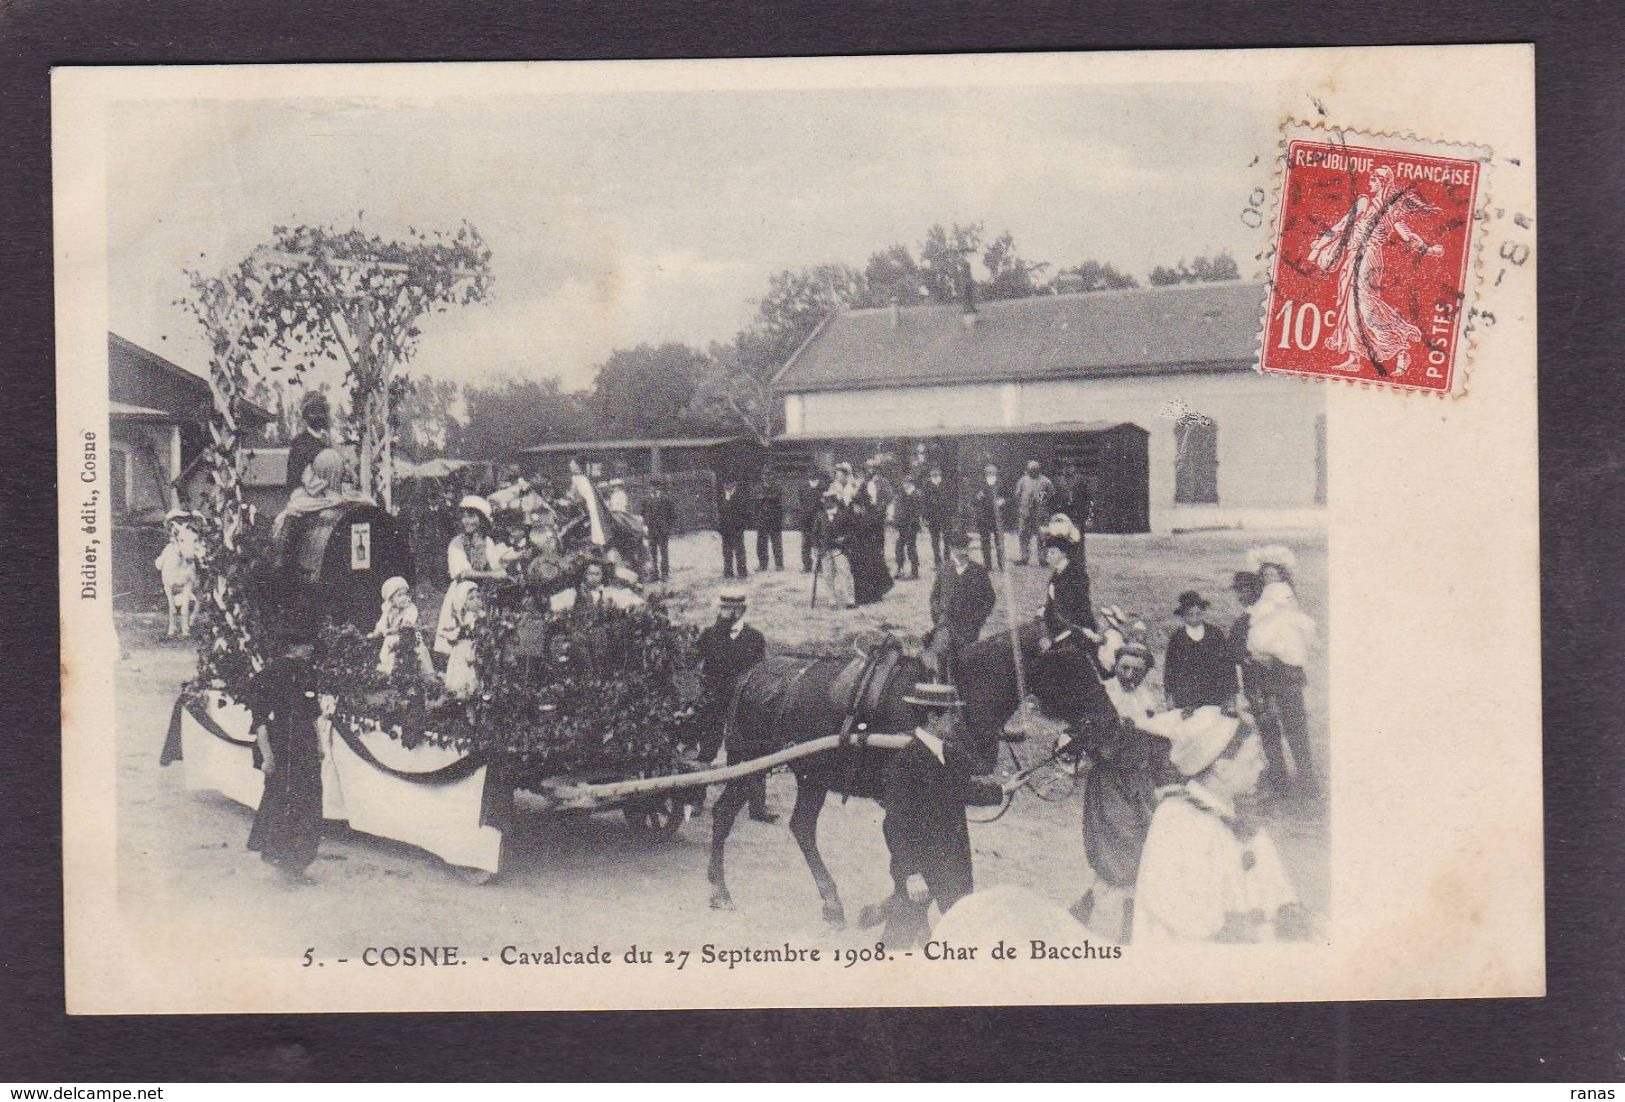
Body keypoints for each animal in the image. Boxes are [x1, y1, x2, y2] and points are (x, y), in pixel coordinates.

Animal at [711, 627, 1118, 929]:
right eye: (1069, 667)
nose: (1109, 722)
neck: (953, 698)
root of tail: (752, 674)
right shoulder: (902, 794)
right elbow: (906, 857)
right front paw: (892, 906)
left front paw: (887, 905)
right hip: (750, 765)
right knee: (724, 814)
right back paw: (720, 891)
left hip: (814, 776)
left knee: (801, 827)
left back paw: (830, 901)